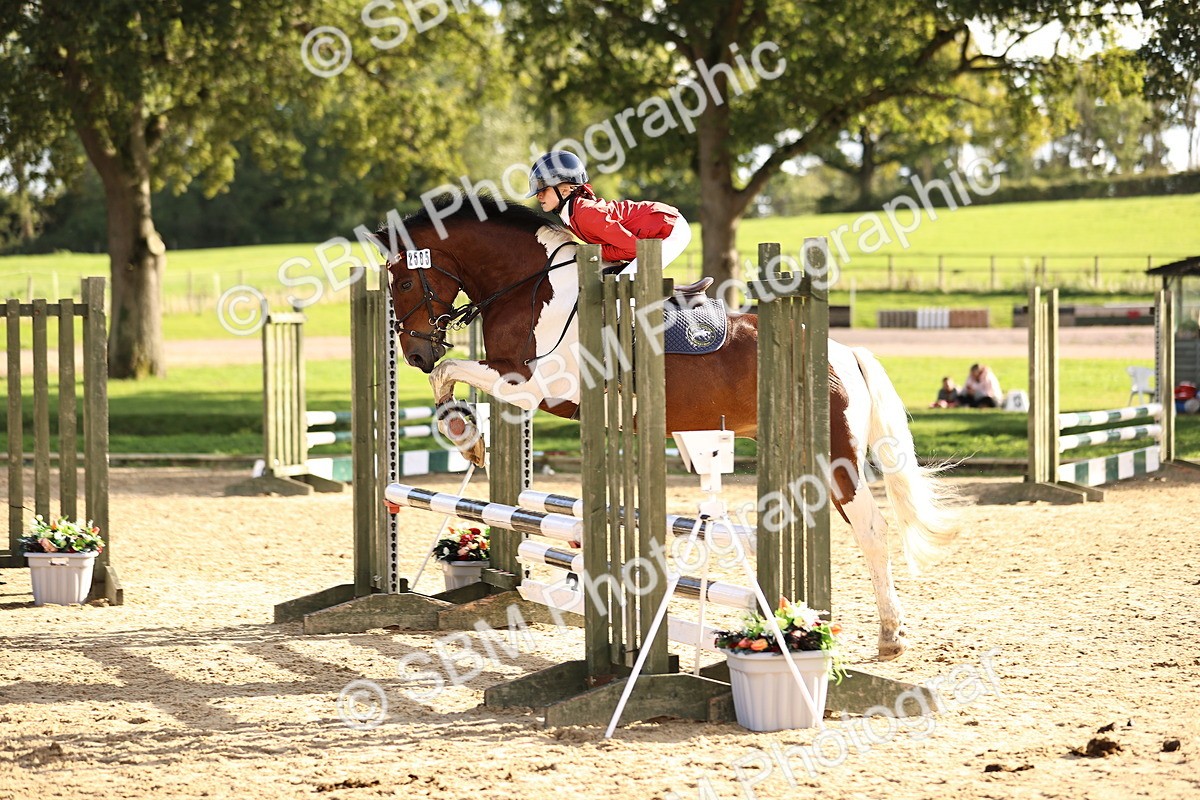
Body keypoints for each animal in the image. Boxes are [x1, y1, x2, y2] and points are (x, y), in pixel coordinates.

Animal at [370, 195, 957, 659]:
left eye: (404, 280)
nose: (416, 353)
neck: (529, 287)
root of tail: (843, 352)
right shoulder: (523, 388)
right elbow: (458, 381)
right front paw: (465, 434)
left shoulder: (530, 387)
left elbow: (454, 371)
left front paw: (462, 432)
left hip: (834, 456)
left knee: (871, 528)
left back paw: (888, 635)